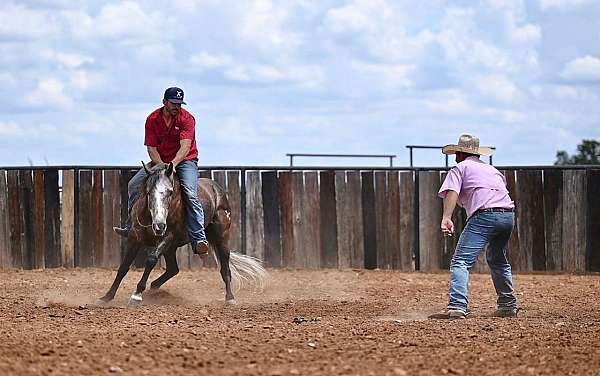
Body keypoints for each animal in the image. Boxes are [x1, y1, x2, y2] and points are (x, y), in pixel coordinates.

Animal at [98, 162, 268, 306]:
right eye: (148, 192)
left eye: (170, 192)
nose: (159, 225)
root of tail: (217, 190)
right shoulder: (135, 237)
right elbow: (124, 266)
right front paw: (107, 296)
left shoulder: (168, 236)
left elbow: (151, 260)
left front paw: (137, 294)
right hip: (171, 248)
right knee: (173, 269)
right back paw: (154, 287)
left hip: (222, 238)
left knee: (225, 269)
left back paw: (230, 298)